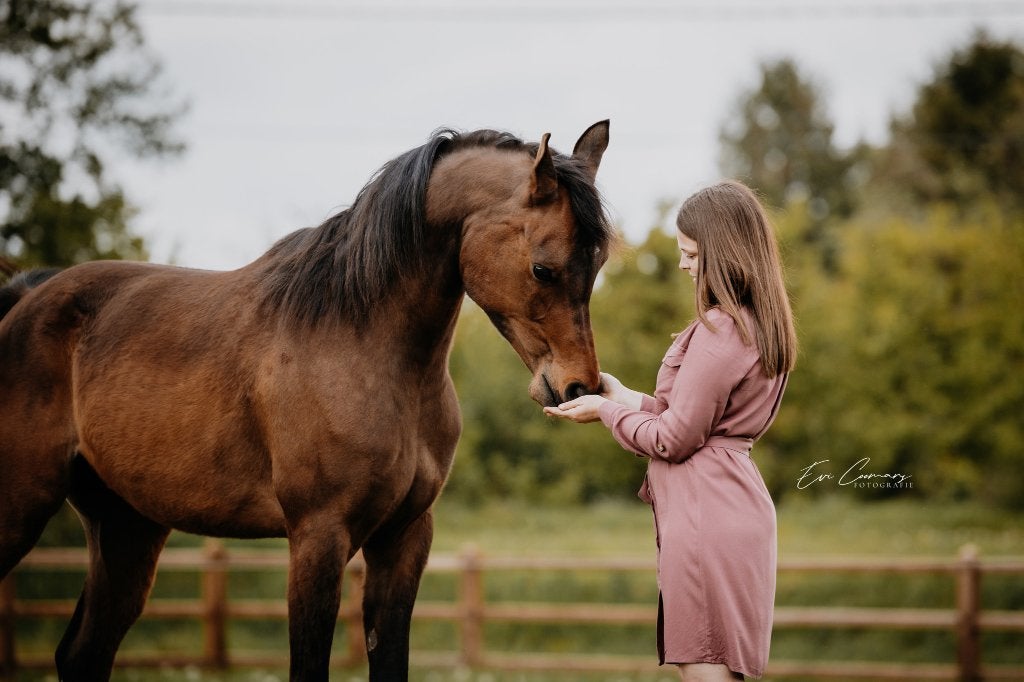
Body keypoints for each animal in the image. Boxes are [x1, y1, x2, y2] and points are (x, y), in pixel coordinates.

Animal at [0, 121, 614, 681]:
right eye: (542, 268)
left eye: (598, 264)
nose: (578, 387)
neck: (360, 341)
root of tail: (29, 299)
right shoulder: (318, 537)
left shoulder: (404, 538)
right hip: (24, 509)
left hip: (127, 527)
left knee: (83, 654)